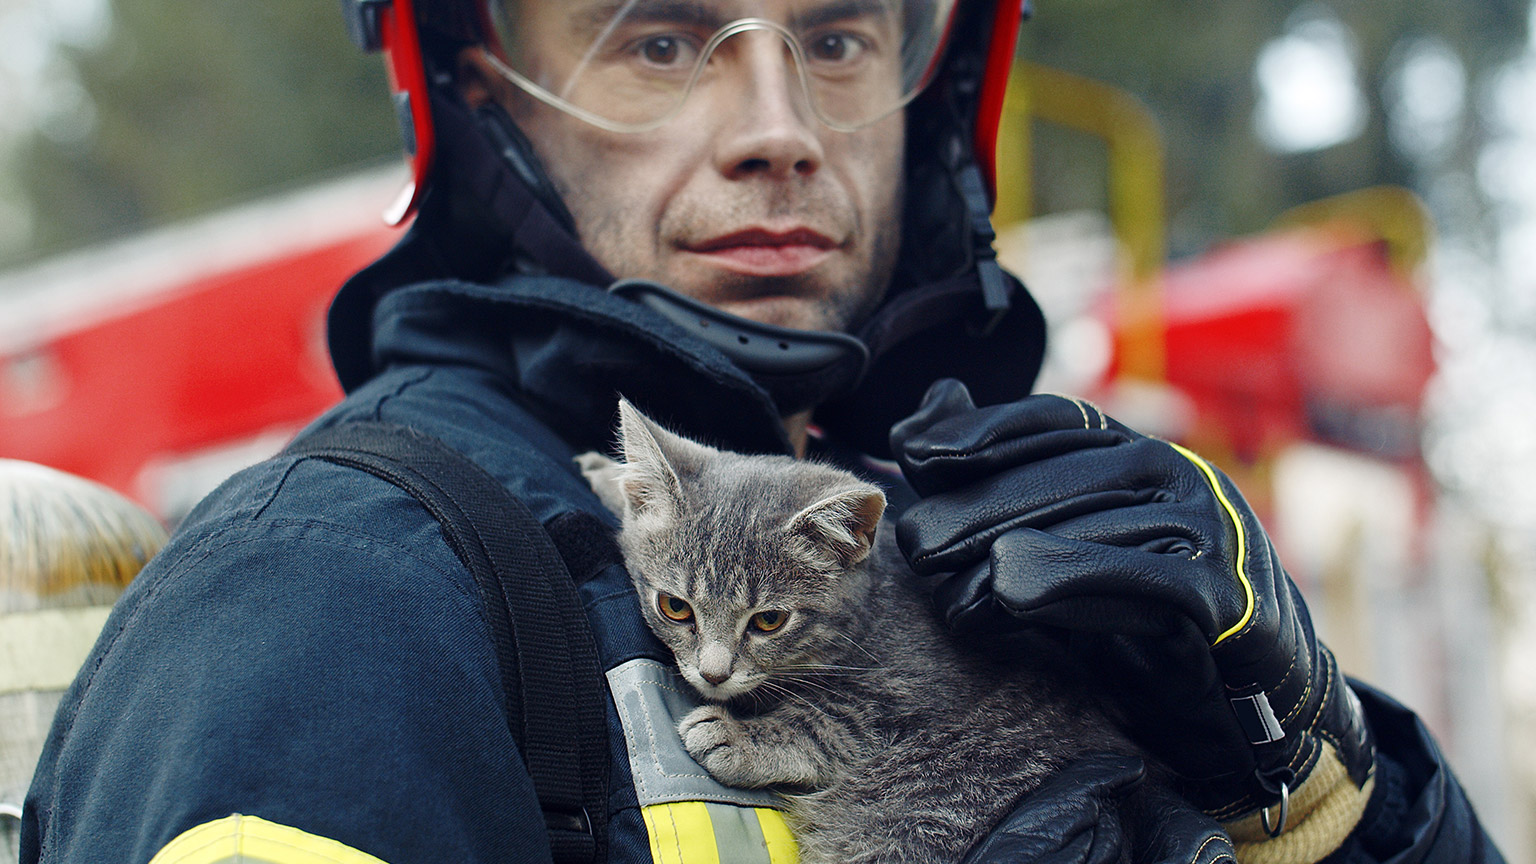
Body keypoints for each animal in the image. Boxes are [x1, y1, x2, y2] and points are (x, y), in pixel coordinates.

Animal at [583, 402, 1161, 860]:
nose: (713, 673)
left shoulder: (912, 688)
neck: (866, 616)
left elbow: (836, 720)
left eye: (769, 621)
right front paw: (610, 477)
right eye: (675, 607)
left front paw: (743, 736)